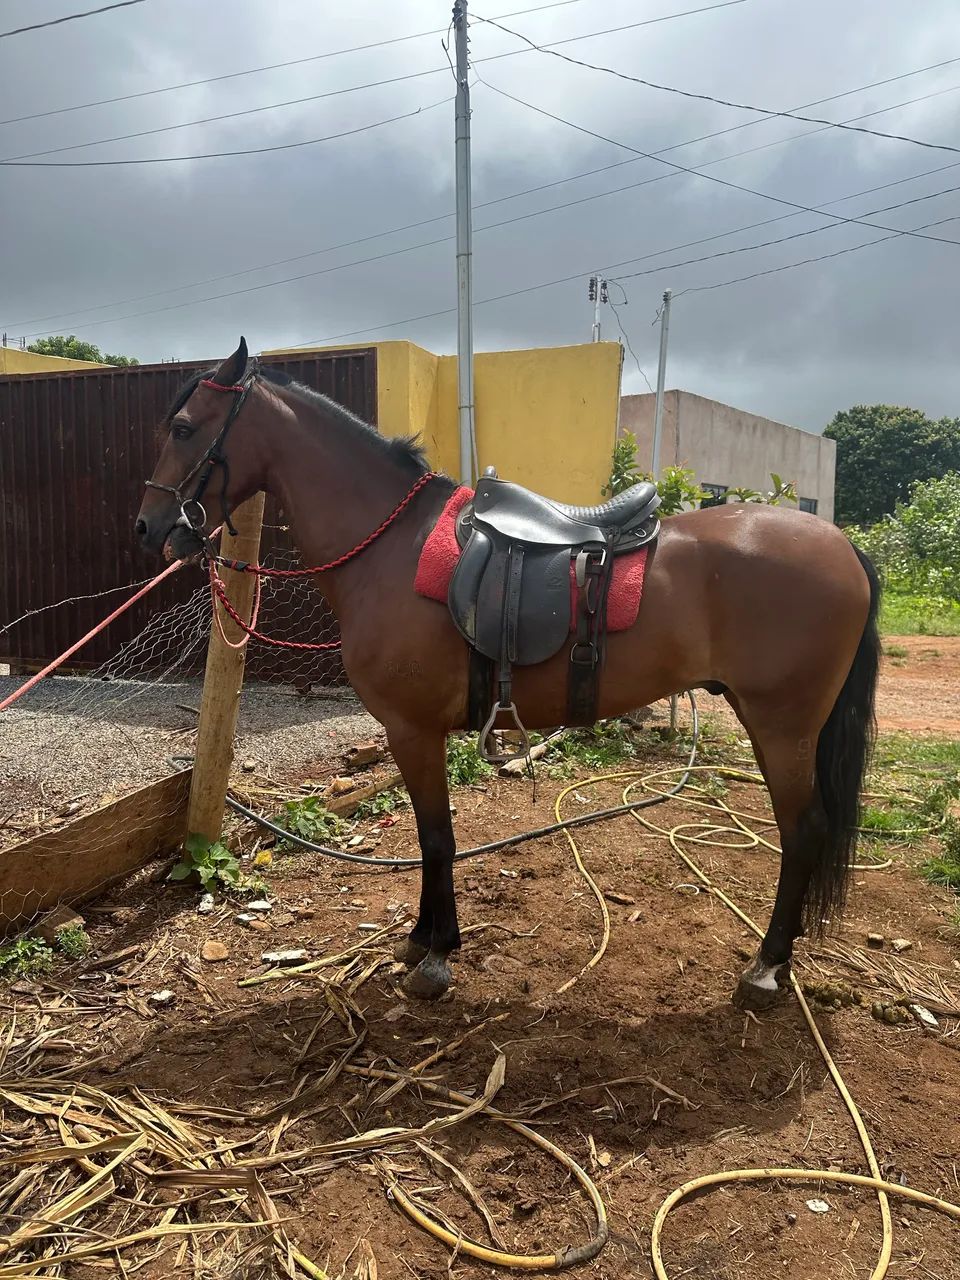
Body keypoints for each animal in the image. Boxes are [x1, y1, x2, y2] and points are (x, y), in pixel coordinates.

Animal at [135, 338, 880, 1008]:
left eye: (184, 427)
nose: (149, 528)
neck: (389, 546)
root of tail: (843, 546)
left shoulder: (411, 730)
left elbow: (436, 837)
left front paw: (436, 953)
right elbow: (433, 837)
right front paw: (425, 937)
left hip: (783, 726)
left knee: (803, 832)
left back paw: (766, 969)